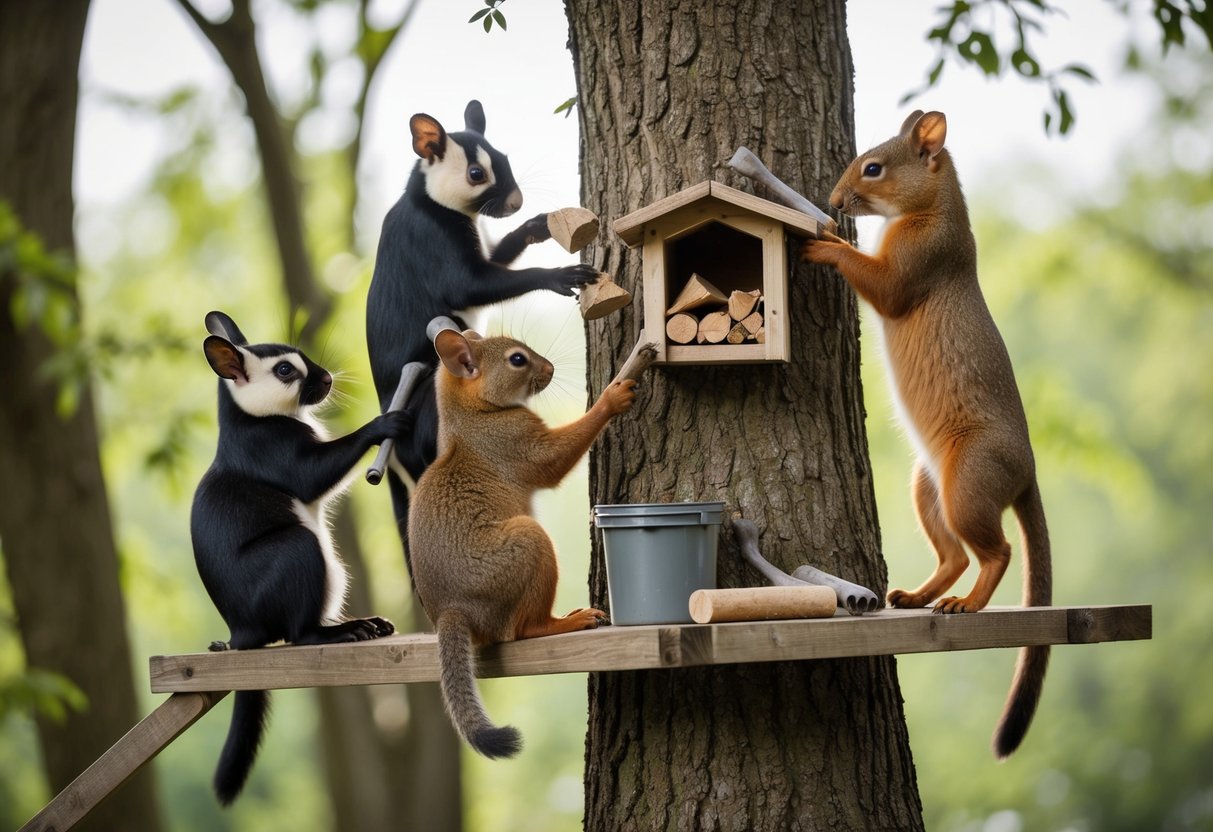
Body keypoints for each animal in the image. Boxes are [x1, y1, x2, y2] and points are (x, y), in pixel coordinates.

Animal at [190, 312, 407, 810]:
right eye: (286, 370)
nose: (327, 378)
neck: (256, 420)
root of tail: (240, 633)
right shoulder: (284, 457)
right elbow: (317, 471)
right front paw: (384, 422)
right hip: (300, 550)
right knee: (300, 635)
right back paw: (346, 631)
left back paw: (365, 624)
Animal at [366, 99, 599, 572]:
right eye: (477, 173)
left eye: (504, 158)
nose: (517, 201)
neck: (429, 203)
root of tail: (394, 457)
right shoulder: (436, 249)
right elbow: (474, 285)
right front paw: (560, 274)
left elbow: (501, 256)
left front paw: (537, 226)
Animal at [407, 329, 635, 761]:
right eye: (517, 359)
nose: (550, 367)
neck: (474, 416)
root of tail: (452, 610)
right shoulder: (515, 442)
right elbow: (553, 458)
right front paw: (613, 397)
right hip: (528, 546)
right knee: (524, 630)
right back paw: (568, 621)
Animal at [800, 110, 1048, 761]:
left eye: (874, 168)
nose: (833, 201)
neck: (935, 211)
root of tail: (1027, 471)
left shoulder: (918, 263)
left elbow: (882, 285)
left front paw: (826, 244)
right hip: (928, 488)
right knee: (955, 555)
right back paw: (915, 597)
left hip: (969, 484)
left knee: (996, 552)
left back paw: (968, 603)